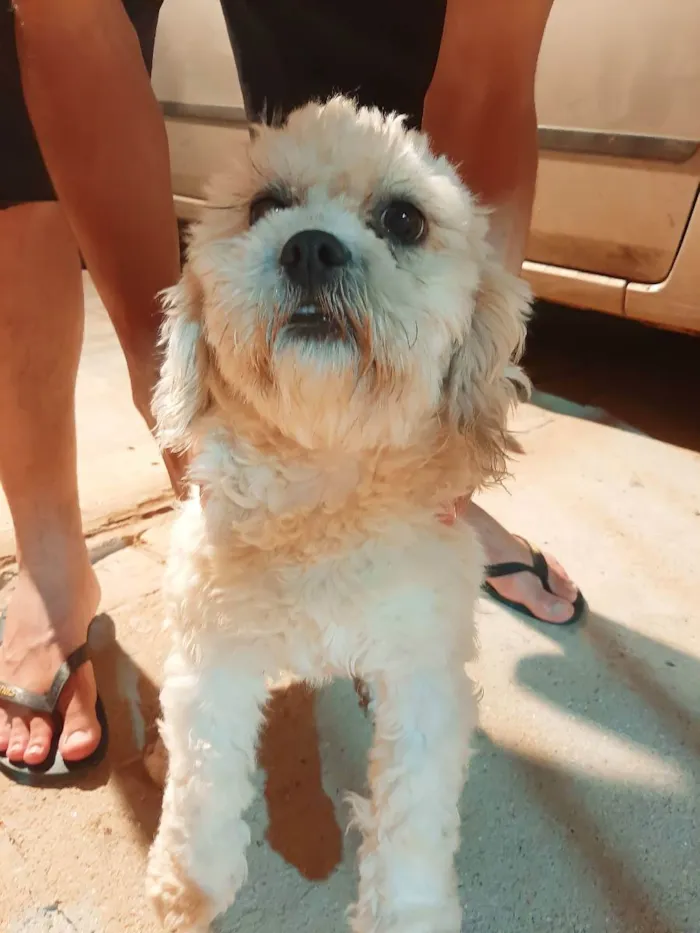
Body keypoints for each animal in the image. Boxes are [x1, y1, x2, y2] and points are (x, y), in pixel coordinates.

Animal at [148, 96, 532, 932]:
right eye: (264, 205)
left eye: (404, 219)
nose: (312, 247)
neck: (323, 484)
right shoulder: (211, 653)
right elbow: (202, 779)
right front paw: (187, 884)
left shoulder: (421, 678)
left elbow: (411, 817)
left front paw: (408, 910)